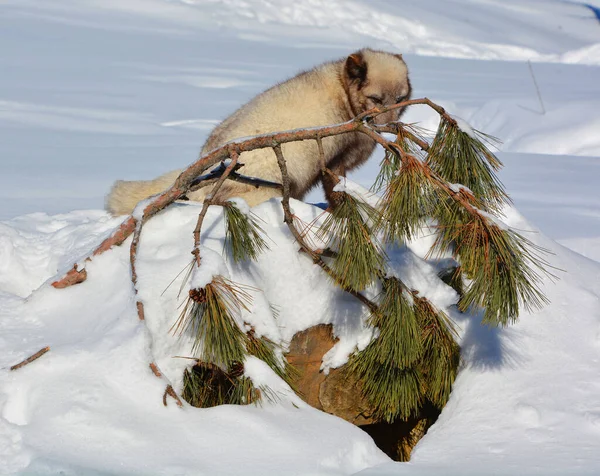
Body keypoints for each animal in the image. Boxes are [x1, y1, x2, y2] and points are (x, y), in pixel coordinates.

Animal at [105, 48, 410, 214]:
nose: (389, 127)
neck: (345, 97)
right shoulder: (333, 162)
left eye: (400, 99)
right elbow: (336, 193)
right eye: (375, 99)